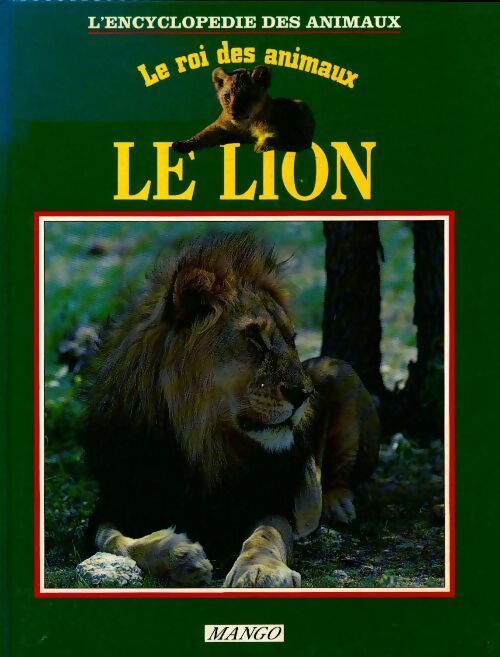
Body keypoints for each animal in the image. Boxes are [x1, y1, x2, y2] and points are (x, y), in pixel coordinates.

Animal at [84, 233, 379, 587]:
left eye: (292, 339)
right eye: (255, 338)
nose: (305, 394)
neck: (201, 441)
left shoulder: (271, 500)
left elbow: (266, 534)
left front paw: (261, 570)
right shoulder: (113, 502)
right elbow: (113, 541)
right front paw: (181, 557)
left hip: (339, 370)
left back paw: (338, 505)